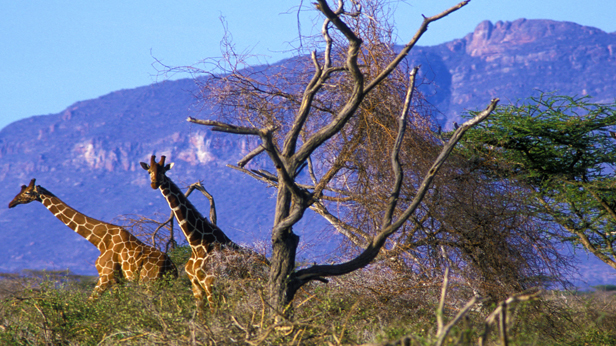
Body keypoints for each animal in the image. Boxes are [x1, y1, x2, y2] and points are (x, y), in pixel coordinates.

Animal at [9, 178, 178, 298]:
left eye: (27, 192)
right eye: (21, 189)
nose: (11, 203)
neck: (100, 240)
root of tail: (171, 266)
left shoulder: (106, 275)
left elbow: (91, 302)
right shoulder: (117, 280)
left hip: (148, 282)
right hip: (163, 283)